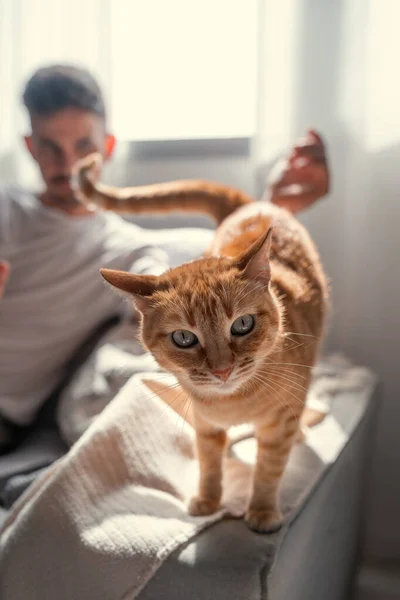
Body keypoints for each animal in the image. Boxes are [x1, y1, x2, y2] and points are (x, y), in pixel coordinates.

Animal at [74, 154, 328, 528]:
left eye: (243, 325)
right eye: (184, 338)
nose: (222, 370)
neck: (234, 402)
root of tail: (251, 206)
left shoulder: (278, 425)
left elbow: (268, 470)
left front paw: (262, 510)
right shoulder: (204, 425)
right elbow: (209, 464)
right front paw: (208, 499)